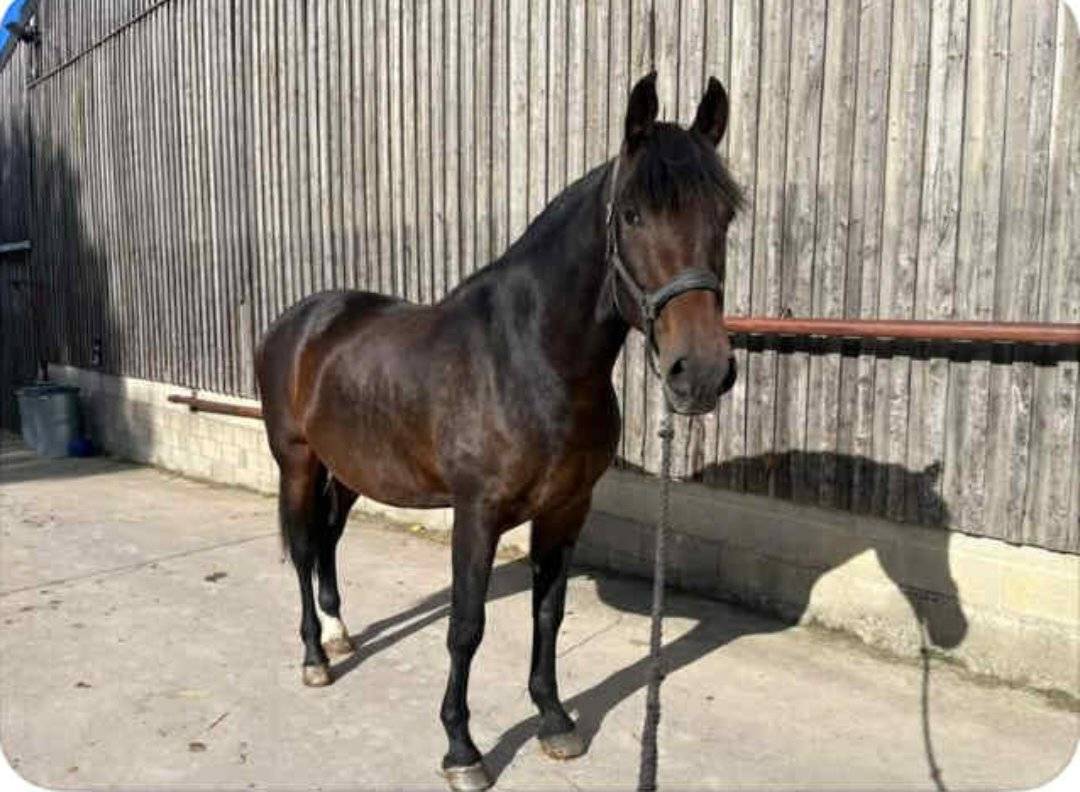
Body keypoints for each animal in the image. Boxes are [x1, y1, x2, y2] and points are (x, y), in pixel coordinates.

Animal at [255, 71, 743, 791]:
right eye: (632, 214)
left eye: (725, 216)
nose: (701, 372)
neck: (533, 359)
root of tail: (302, 320)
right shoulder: (477, 514)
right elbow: (466, 624)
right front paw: (462, 749)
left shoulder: (567, 509)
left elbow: (549, 612)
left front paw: (556, 720)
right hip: (297, 462)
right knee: (304, 544)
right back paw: (317, 656)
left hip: (346, 469)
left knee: (329, 539)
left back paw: (340, 630)